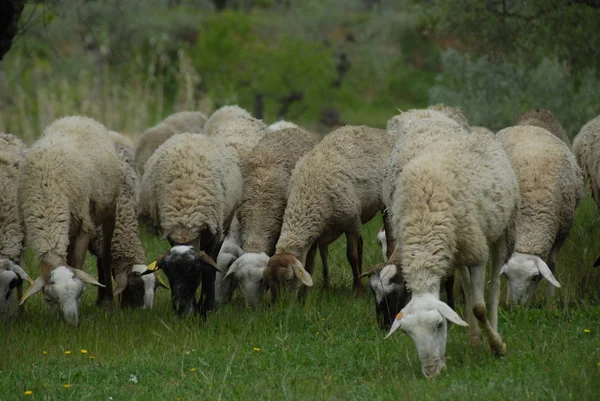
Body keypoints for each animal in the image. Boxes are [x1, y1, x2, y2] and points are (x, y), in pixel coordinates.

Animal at [17, 115, 119, 324]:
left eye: (80, 294)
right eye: (48, 299)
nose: (71, 324)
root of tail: (76, 117)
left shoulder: (84, 226)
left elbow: (77, 262)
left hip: (108, 211)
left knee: (105, 255)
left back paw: (107, 303)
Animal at [264, 125, 394, 300]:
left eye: (288, 279)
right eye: (267, 281)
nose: (276, 304)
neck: (307, 195)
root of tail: (373, 129)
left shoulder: (351, 223)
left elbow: (351, 256)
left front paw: (357, 291)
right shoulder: (316, 232)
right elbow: (310, 264)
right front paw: (304, 297)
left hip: (384, 203)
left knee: (388, 238)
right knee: (361, 244)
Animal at [384, 120, 520, 376]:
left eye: (440, 325)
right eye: (408, 333)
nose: (431, 373)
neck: (424, 225)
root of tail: (476, 131)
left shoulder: (477, 253)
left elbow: (478, 307)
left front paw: (498, 346)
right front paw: (476, 337)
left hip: (502, 229)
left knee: (495, 285)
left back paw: (493, 338)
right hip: (457, 250)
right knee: (466, 283)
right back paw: (474, 338)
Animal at [494, 125, 584, 304]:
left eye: (535, 277)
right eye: (506, 276)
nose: (515, 307)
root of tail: (526, 126)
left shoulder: (560, 234)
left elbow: (552, 265)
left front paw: (549, 303)